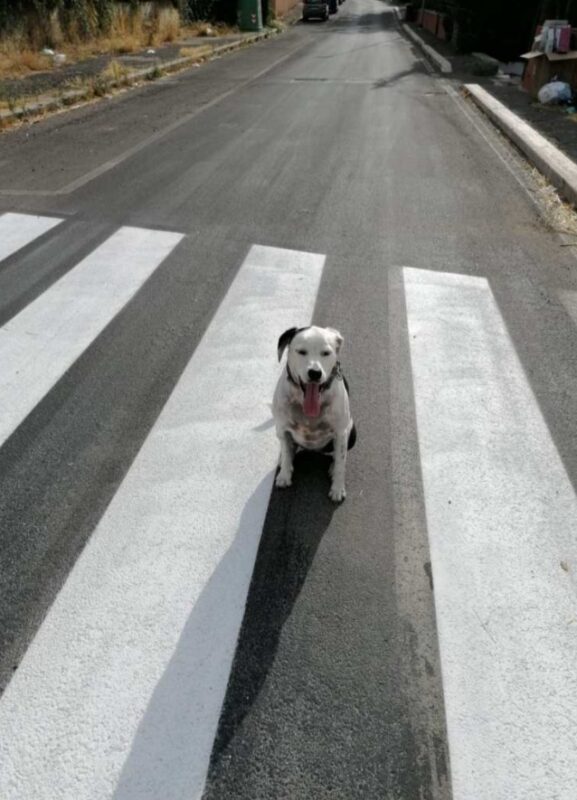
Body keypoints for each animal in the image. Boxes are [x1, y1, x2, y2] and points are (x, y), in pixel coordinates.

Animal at [272, 324, 354, 500]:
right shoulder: (282, 428)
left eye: (326, 353)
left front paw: (337, 488)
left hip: (351, 433)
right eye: (301, 351)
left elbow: (341, 462)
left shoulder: (341, 432)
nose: (315, 373)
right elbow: (287, 453)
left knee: (338, 455)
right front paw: (284, 475)